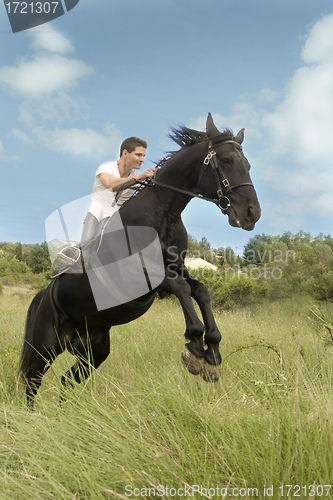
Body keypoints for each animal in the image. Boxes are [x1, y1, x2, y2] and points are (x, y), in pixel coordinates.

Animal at [19, 113, 260, 406]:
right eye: (225, 161)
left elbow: (200, 290)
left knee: (67, 380)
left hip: (94, 351)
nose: (252, 213)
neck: (162, 216)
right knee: (32, 381)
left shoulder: (177, 267)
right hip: (46, 346)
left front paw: (211, 352)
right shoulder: (138, 276)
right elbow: (181, 288)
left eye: (247, 164)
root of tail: (45, 293)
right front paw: (194, 347)